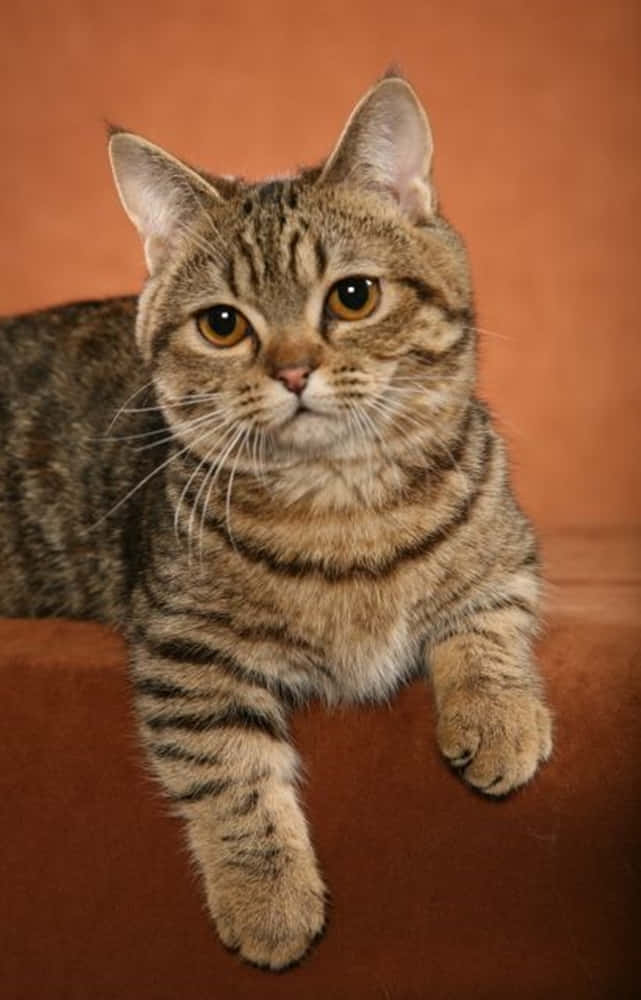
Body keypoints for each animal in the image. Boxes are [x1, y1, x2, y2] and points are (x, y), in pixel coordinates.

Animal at [0, 76, 552, 968]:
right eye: (222, 324)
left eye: (353, 297)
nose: (293, 370)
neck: (341, 504)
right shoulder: (188, 652)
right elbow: (230, 775)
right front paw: (268, 900)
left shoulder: (509, 551)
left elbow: (485, 625)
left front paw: (497, 716)